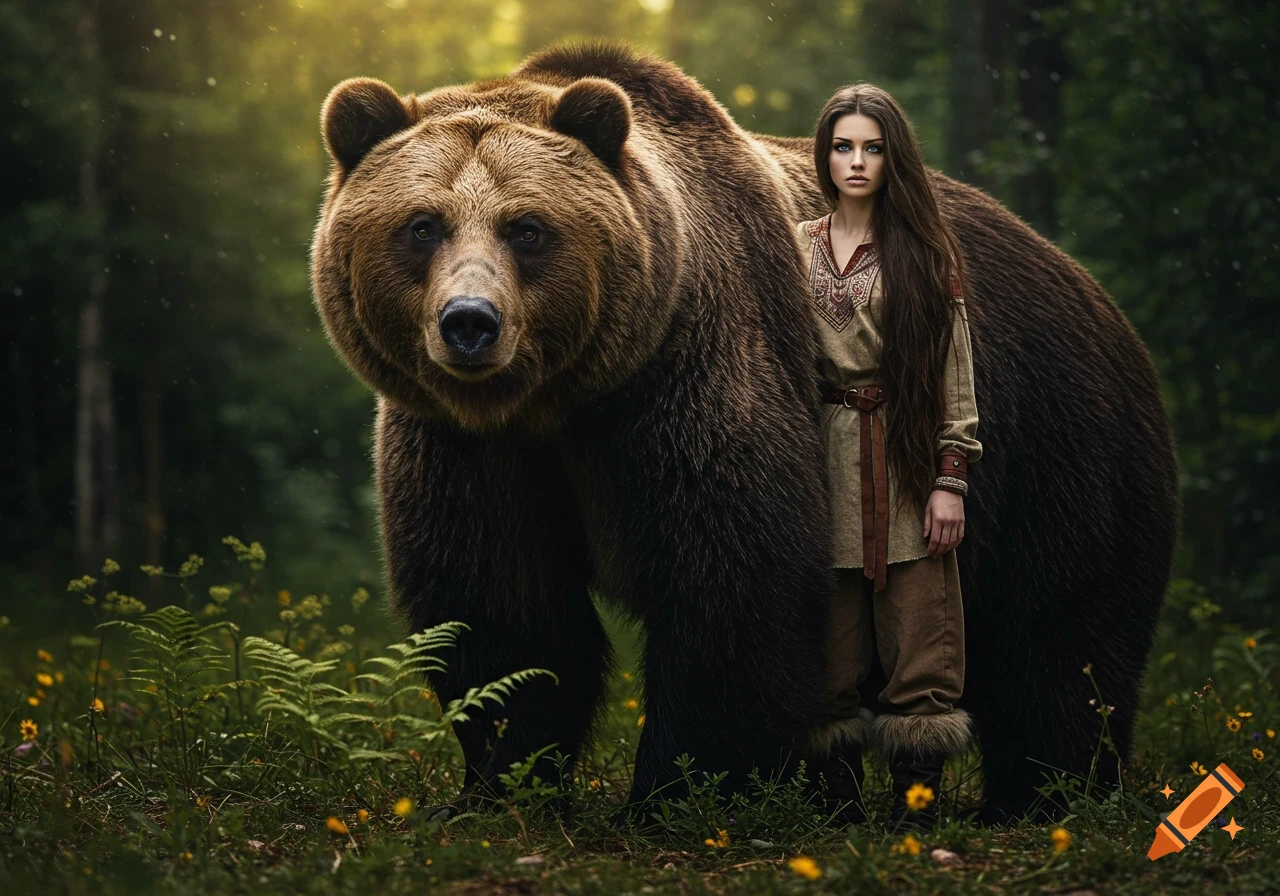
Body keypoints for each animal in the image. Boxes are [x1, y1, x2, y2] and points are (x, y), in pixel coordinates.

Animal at [310, 41, 1179, 824]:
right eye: (423, 225)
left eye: (527, 228)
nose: (470, 324)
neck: (562, 401)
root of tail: (1090, 286)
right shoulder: (470, 446)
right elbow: (500, 608)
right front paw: (492, 787)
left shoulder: (691, 375)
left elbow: (730, 579)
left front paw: (671, 793)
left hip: (1058, 441)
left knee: (1056, 636)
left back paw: (1041, 793)